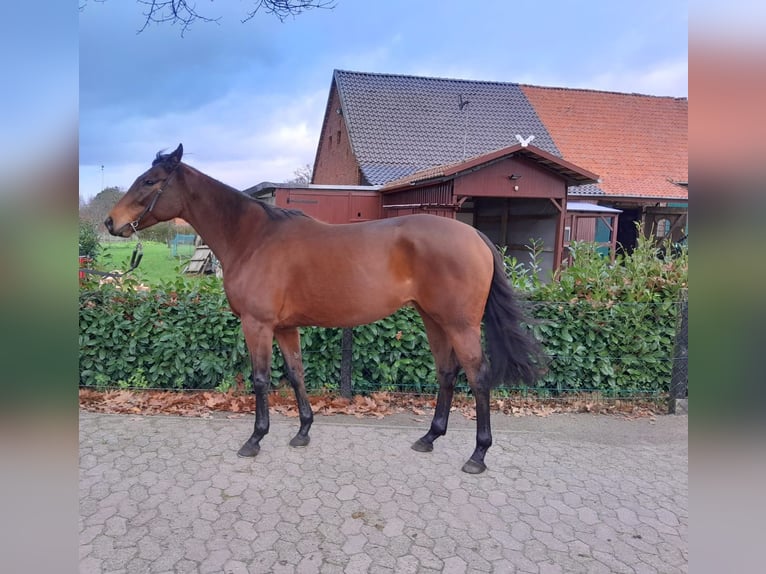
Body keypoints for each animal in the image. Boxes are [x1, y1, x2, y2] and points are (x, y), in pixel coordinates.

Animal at [106, 145, 540, 476]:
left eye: (149, 181)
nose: (111, 222)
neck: (254, 238)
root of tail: (475, 235)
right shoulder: (284, 328)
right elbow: (296, 373)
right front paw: (302, 431)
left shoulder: (257, 325)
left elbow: (261, 380)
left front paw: (255, 439)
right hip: (433, 319)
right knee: (447, 372)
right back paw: (429, 437)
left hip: (460, 324)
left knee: (478, 377)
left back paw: (478, 455)